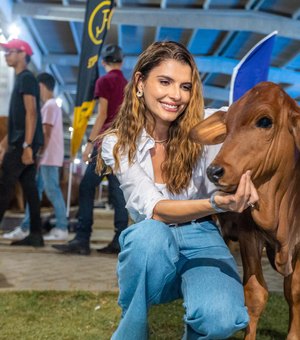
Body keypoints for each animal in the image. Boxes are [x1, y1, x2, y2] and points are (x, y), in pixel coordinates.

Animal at [190, 81, 300, 338]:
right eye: (228, 125)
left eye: (265, 121)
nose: (214, 171)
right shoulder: (249, 235)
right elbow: (255, 294)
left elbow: (294, 292)